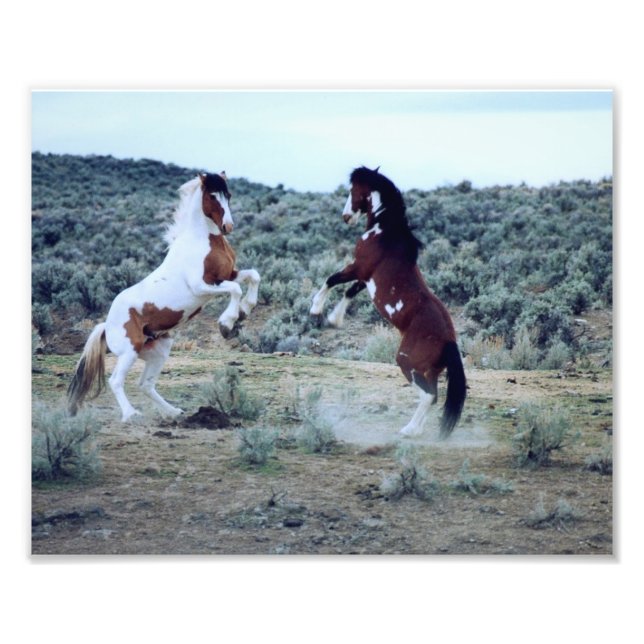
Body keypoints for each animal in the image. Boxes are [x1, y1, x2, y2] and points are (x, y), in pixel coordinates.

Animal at [68, 171, 260, 422]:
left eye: (228, 194)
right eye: (211, 195)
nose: (228, 226)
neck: (202, 241)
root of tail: (106, 325)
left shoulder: (228, 274)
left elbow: (253, 277)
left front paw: (244, 312)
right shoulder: (202, 286)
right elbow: (235, 289)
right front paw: (227, 325)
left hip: (158, 351)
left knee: (146, 385)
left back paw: (175, 412)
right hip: (129, 351)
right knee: (116, 380)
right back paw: (131, 415)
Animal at [310, 166, 466, 438]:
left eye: (352, 190)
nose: (346, 217)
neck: (384, 233)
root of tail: (449, 340)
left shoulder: (358, 267)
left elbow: (331, 280)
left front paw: (316, 310)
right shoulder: (365, 278)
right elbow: (349, 292)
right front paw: (334, 319)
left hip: (407, 362)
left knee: (428, 396)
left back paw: (408, 430)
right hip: (430, 370)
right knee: (433, 396)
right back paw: (416, 429)